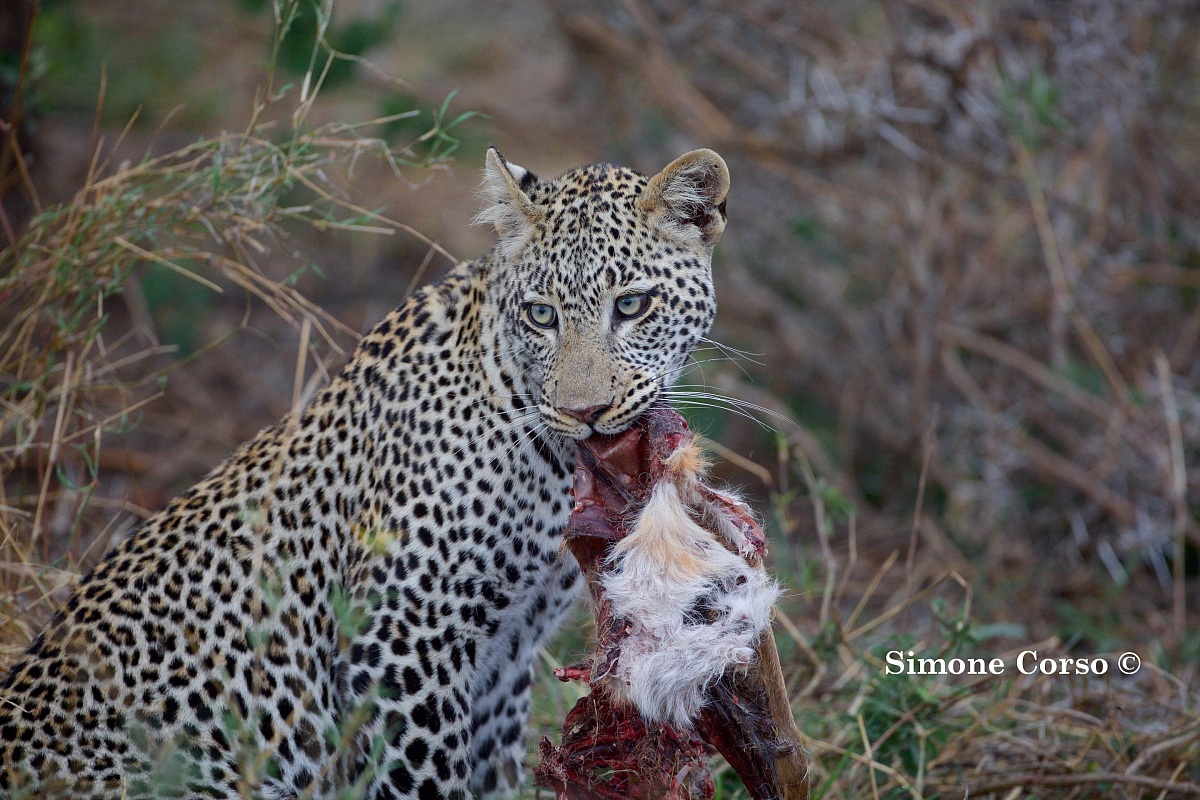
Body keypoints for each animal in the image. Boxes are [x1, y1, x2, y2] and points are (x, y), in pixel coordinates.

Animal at [0, 146, 731, 800]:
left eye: (631, 306)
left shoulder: (505, 655)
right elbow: (424, 782)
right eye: (541, 315)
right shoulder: (403, 636)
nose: (585, 413)